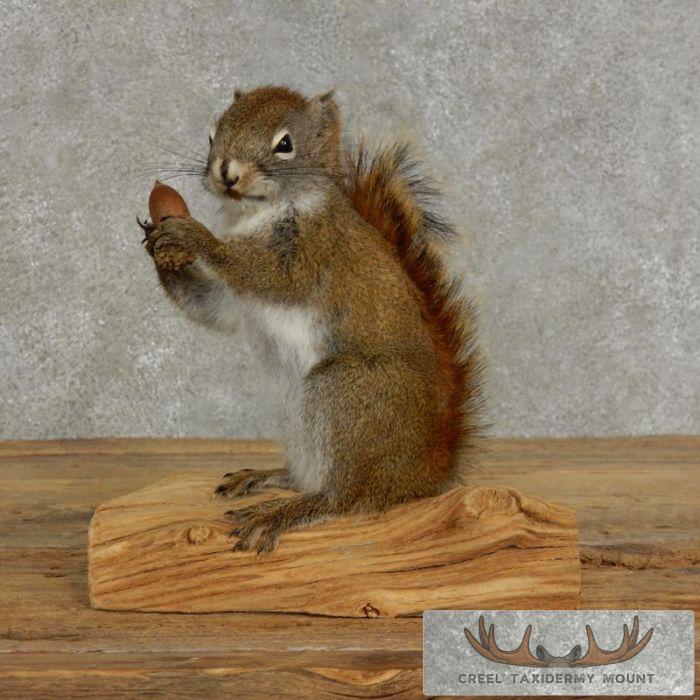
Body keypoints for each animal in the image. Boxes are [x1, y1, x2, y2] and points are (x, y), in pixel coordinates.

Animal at [141, 86, 482, 554]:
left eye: (285, 144)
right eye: (213, 134)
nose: (227, 173)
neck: (256, 213)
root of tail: (427, 472)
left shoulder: (310, 253)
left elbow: (263, 273)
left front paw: (194, 236)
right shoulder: (233, 301)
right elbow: (212, 308)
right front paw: (158, 249)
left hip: (345, 391)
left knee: (344, 498)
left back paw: (282, 513)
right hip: (297, 411)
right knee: (310, 474)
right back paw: (265, 477)